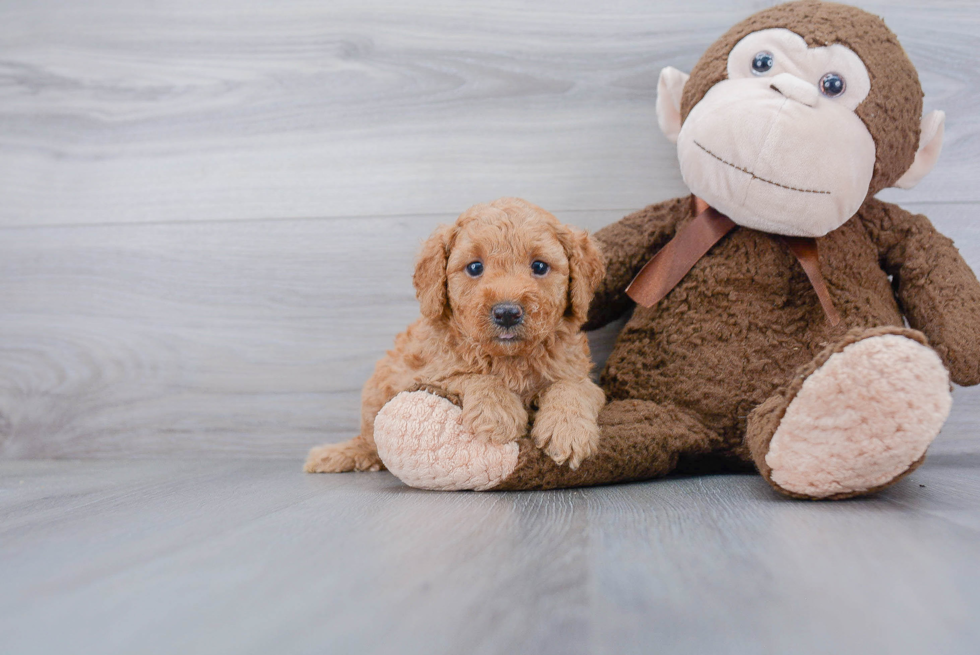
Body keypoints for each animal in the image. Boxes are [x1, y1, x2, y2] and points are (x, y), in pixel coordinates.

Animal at [306, 197, 608, 474]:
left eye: (540, 266)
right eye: (475, 267)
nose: (507, 312)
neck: (510, 360)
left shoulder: (578, 373)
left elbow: (572, 387)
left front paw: (568, 430)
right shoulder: (423, 375)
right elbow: (467, 375)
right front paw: (497, 412)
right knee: (369, 444)